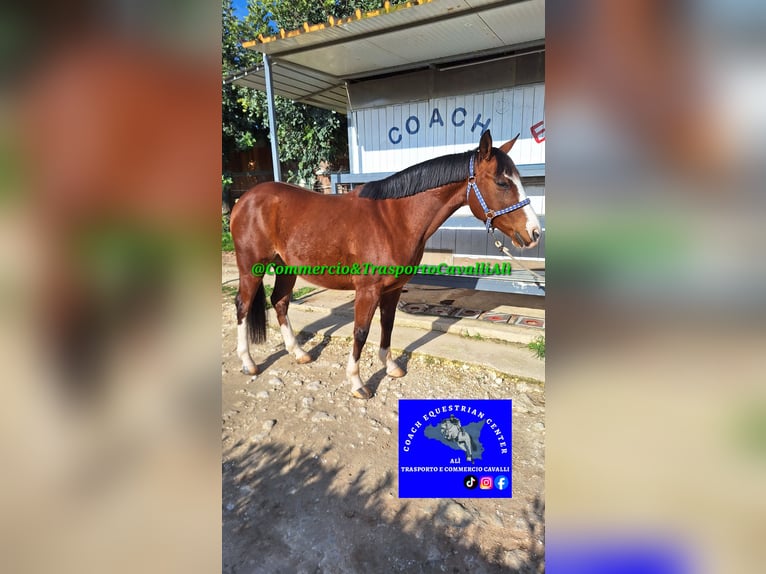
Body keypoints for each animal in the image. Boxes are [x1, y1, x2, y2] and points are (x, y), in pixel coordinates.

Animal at [230, 130, 541, 399]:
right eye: (502, 183)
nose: (534, 233)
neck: (394, 220)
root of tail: (244, 199)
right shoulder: (368, 290)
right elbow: (361, 331)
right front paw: (357, 383)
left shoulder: (392, 290)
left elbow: (387, 325)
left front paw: (391, 367)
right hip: (251, 268)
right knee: (243, 306)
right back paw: (248, 362)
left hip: (286, 268)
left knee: (280, 302)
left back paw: (298, 353)